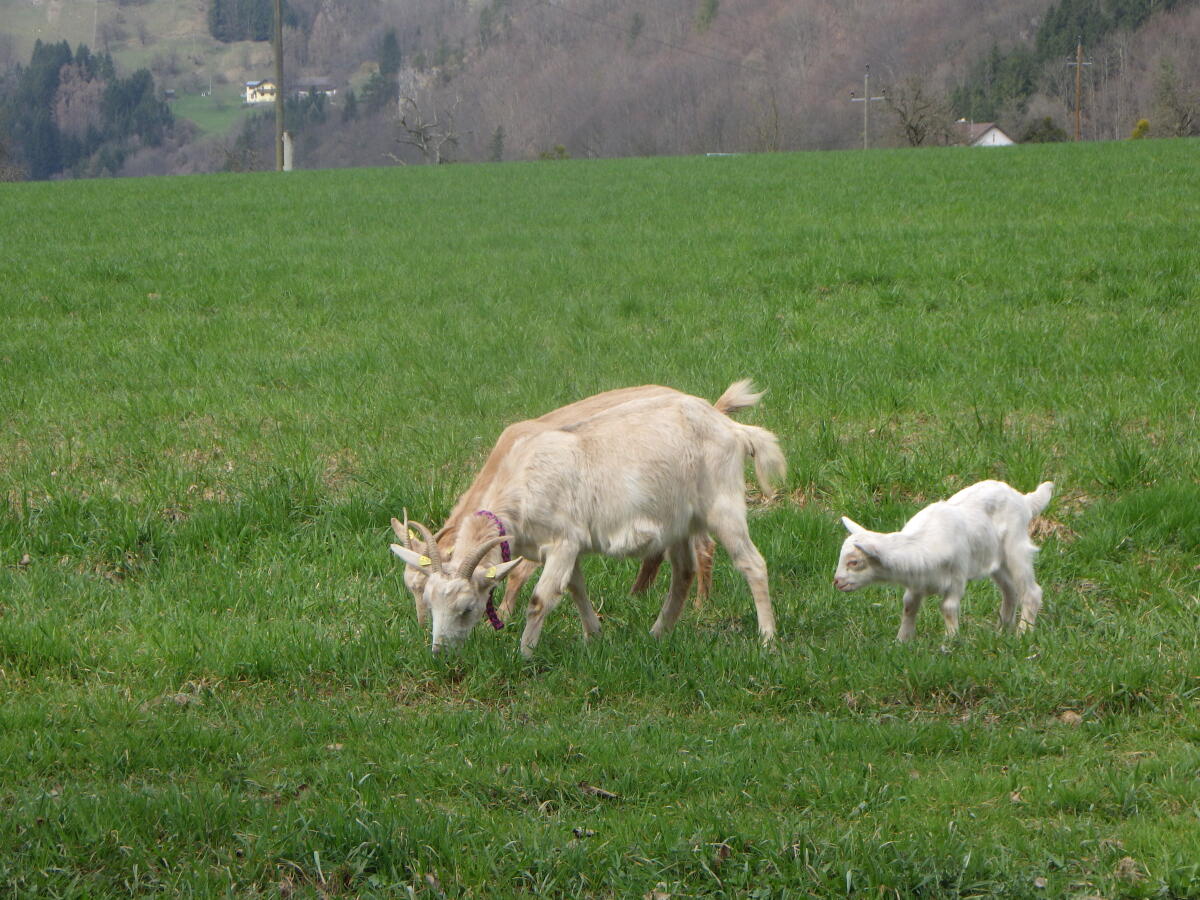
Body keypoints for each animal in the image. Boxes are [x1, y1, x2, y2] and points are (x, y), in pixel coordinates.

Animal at [391, 382, 785, 655]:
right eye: (429, 599)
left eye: (467, 607)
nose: (440, 652)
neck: (520, 479)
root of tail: (733, 429)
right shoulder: (570, 547)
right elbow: (575, 589)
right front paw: (593, 635)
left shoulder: (563, 542)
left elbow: (541, 598)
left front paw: (524, 653)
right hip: (678, 522)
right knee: (683, 572)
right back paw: (658, 633)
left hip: (722, 505)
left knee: (752, 563)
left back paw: (767, 639)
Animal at [833, 480, 1054, 642]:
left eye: (854, 562)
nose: (837, 582)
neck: (920, 542)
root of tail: (1023, 499)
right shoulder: (917, 582)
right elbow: (909, 606)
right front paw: (901, 641)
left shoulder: (957, 576)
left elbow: (948, 608)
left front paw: (951, 641)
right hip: (995, 560)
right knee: (1010, 590)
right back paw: (1001, 631)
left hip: (1016, 548)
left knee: (1031, 592)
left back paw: (1023, 633)